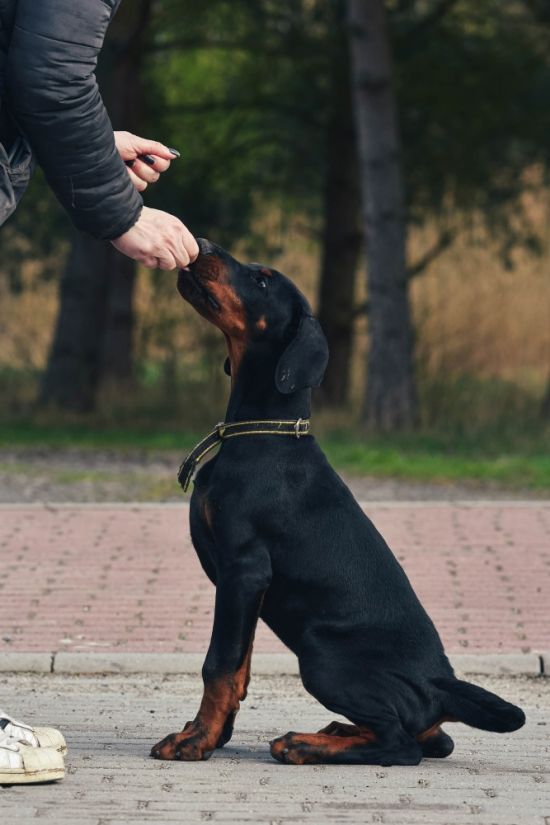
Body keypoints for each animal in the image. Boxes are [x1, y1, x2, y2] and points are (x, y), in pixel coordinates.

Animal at [151, 239, 525, 765]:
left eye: (262, 279)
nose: (201, 245)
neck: (262, 432)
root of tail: (439, 686)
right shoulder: (243, 585)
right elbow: (240, 668)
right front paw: (213, 733)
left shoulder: (244, 568)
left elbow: (219, 664)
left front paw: (195, 740)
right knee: (432, 740)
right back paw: (331, 730)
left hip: (320, 653)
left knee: (402, 745)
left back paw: (302, 744)